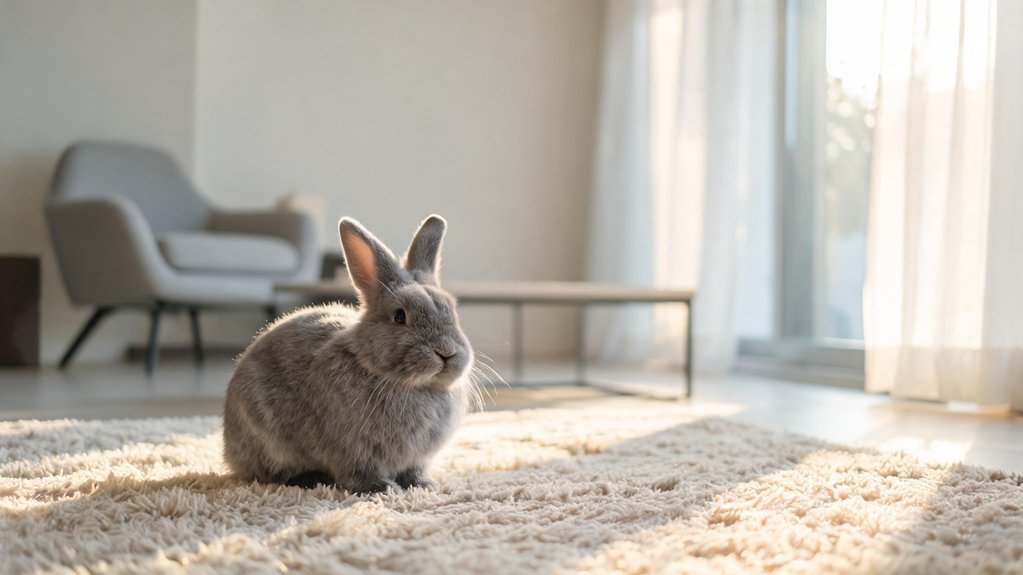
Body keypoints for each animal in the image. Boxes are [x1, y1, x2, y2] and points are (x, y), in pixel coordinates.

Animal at [222, 215, 473, 494]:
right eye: (399, 316)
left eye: (452, 312)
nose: (446, 352)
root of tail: (228, 450)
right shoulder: (352, 450)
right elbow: (359, 471)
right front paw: (381, 488)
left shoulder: (416, 458)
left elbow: (413, 470)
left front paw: (422, 485)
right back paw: (310, 479)